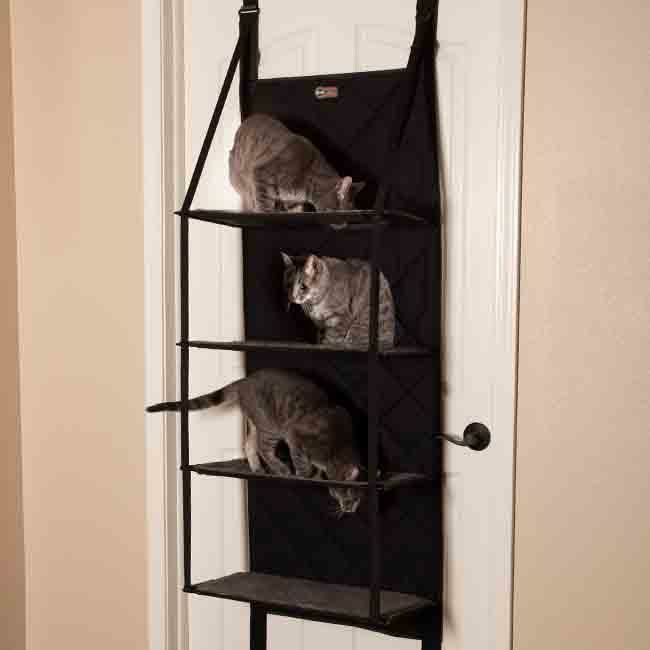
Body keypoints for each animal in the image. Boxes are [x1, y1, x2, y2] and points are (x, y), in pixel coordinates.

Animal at [146, 368, 363, 515]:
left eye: (359, 499)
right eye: (350, 496)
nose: (350, 510)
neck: (337, 448)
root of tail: (244, 380)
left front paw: (316, 475)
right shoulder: (295, 436)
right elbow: (301, 462)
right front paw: (304, 475)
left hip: (256, 422)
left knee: (248, 444)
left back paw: (257, 468)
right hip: (270, 426)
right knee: (262, 447)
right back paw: (280, 469)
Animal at [229, 113, 365, 213]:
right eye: (343, 213)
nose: (345, 225)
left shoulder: (293, 201)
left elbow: (295, 210)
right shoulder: (262, 172)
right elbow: (263, 201)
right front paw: (264, 211)